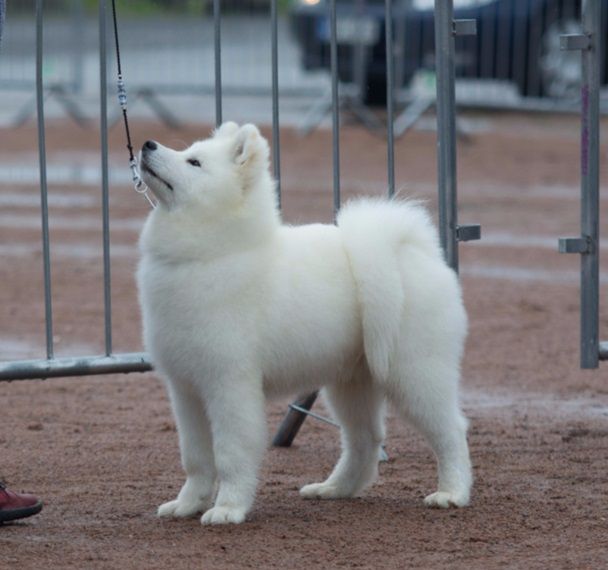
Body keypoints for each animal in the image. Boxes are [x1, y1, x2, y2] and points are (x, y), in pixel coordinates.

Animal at [137, 123, 470, 524]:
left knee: (450, 430)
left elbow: (231, 453)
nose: (147, 144)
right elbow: (196, 457)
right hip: (351, 383)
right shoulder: (186, 389)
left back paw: (451, 493)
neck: (216, 253)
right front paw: (187, 504)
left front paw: (228, 509)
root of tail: (416, 252)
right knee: (365, 439)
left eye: (194, 162)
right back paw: (335, 489)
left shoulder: (229, 385)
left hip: (414, 373)